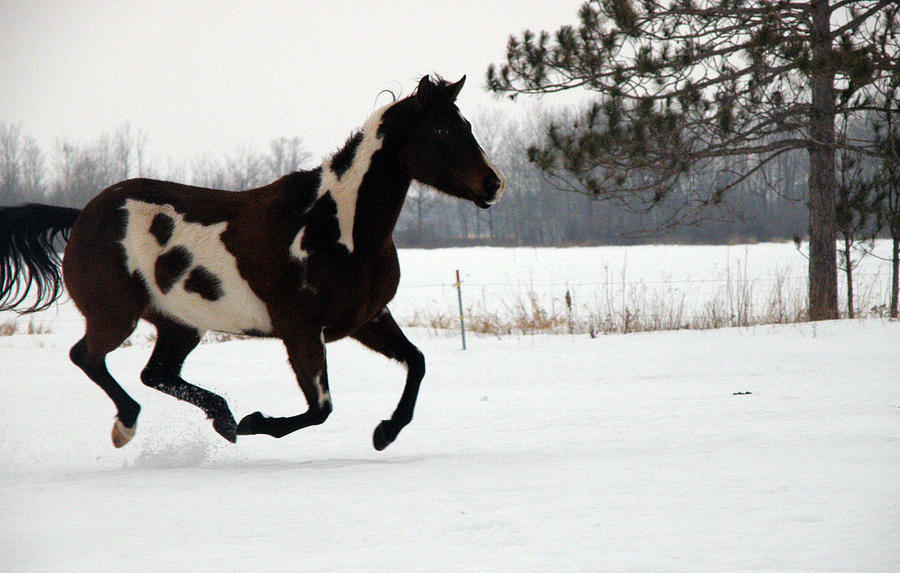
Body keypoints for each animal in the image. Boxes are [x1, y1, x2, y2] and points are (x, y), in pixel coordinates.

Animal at [0, 76, 502, 452]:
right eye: (441, 131)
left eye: (466, 123)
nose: (493, 184)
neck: (339, 228)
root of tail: (83, 215)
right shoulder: (301, 331)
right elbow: (320, 409)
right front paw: (257, 421)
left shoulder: (367, 318)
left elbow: (416, 362)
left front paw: (385, 433)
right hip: (115, 315)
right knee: (87, 357)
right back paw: (130, 425)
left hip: (179, 323)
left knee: (155, 373)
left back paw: (221, 418)